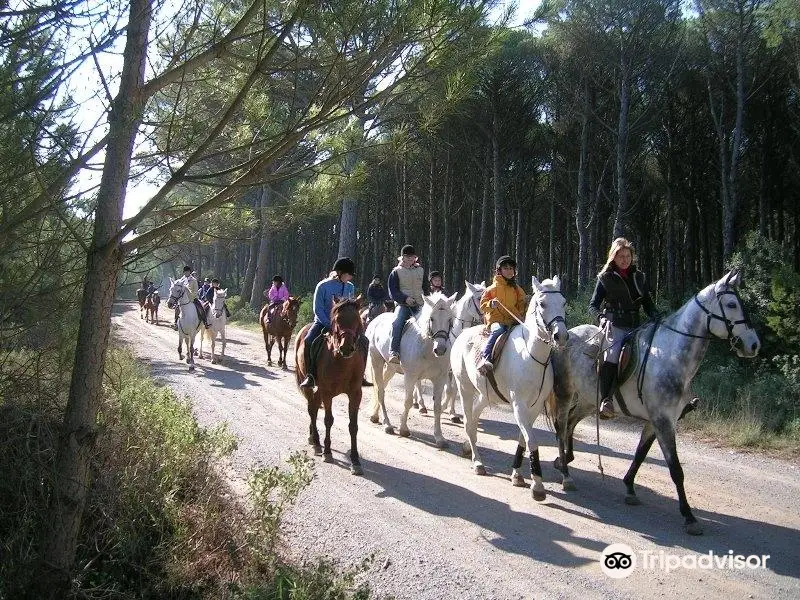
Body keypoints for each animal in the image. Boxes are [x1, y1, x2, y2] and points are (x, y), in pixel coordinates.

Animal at [296, 298, 368, 476]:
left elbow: (353, 426)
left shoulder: (355, 394)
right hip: (310, 386)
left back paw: (312, 438)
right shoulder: (327, 392)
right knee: (312, 410)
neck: (342, 361)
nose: (346, 347)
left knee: (314, 408)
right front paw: (327, 452)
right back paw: (316, 443)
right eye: (336, 320)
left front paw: (355, 461)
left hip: (319, 391)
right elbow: (328, 420)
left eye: (357, 319)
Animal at [368, 290, 456, 450]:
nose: (440, 349)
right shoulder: (410, 376)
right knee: (380, 390)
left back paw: (376, 416)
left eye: (449, 319)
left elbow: (437, 406)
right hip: (376, 361)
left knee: (381, 386)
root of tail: (376, 320)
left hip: (391, 368)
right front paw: (404, 429)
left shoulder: (440, 379)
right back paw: (387, 424)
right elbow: (408, 401)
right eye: (432, 318)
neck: (427, 348)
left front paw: (439, 438)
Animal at [450, 278, 568, 502]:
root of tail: (462, 335)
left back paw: (469, 448)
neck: (531, 355)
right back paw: (477, 462)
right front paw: (537, 486)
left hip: (485, 395)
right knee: (469, 421)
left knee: (474, 418)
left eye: (564, 302)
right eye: (542, 304)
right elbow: (532, 441)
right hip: (464, 388)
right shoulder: (519, 405)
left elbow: (523, 439)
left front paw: (517, 475)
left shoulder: (534, 407)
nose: (561, 336)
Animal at [548, 268, 760, 536]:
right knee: (562, 424)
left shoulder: (655, 421)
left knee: (571, 423)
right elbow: (676, 470)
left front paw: (629, 487)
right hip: (565, 393)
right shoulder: (663, 422)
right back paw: (565, 469)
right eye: (732, 304)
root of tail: (566, 336)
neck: (671, 357)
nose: (754, 344)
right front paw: (689, 516)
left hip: (588, 399)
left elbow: (640, 455)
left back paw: (565, 459)